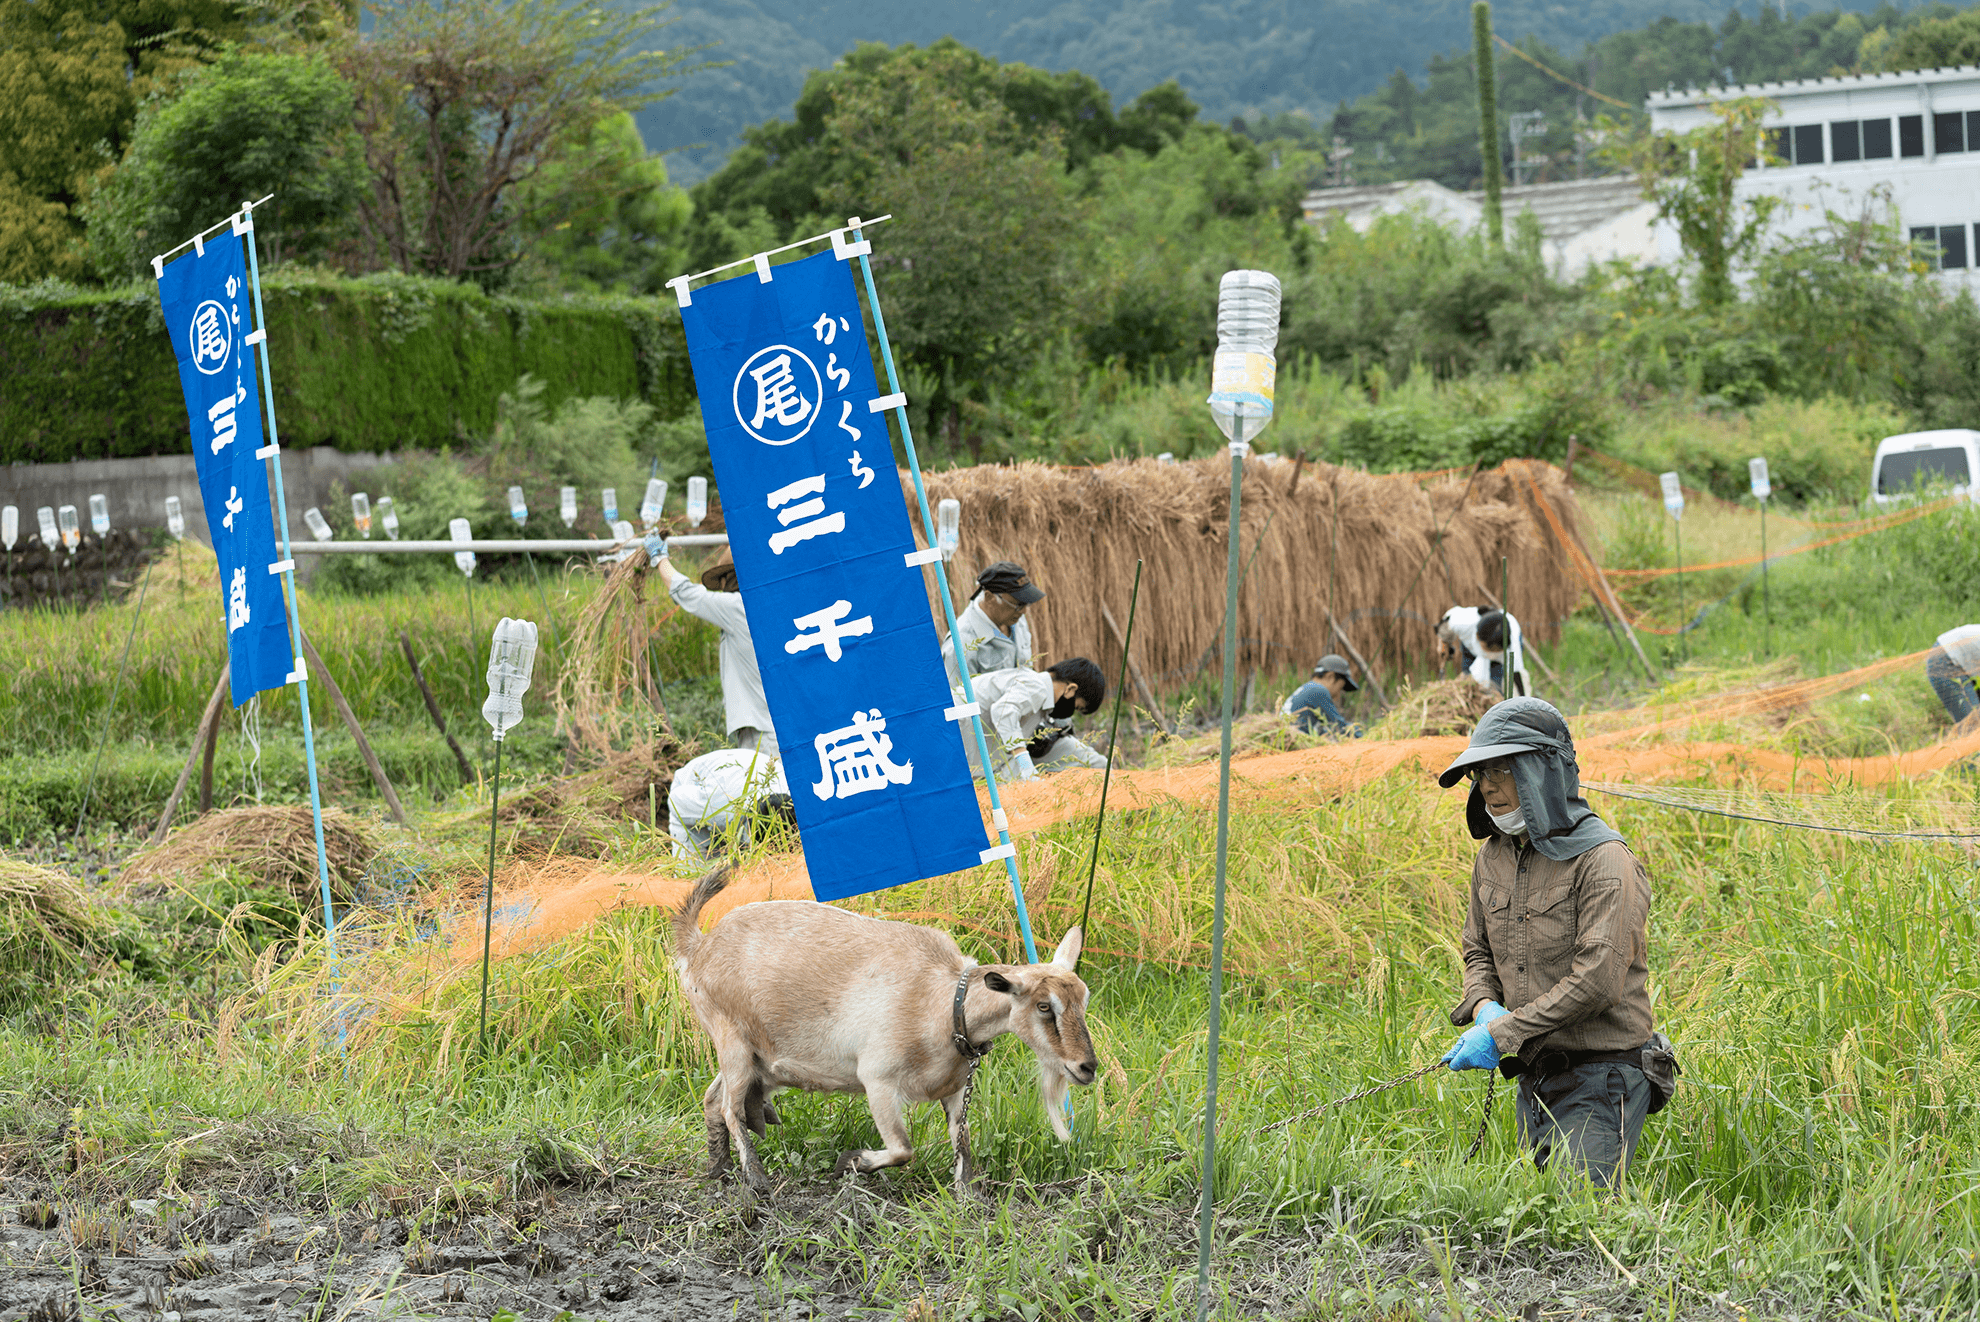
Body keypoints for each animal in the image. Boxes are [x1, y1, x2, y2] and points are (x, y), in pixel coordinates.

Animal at [669, 866, 1100, 1195]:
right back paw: (756, 1179)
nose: (1087, 1067)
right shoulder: (877, 1080)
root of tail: (699, 946)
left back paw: (719, 1170)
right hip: (731, 1039)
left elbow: (963, 1144)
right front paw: (850, 1162)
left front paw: (968, 1196)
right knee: (730, 1108)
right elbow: (903, 1150)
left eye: (1084, 998)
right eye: (1044, 1006)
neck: (943, 1003)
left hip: (754, 1057)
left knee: (713, 1099)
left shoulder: (955, 1090)